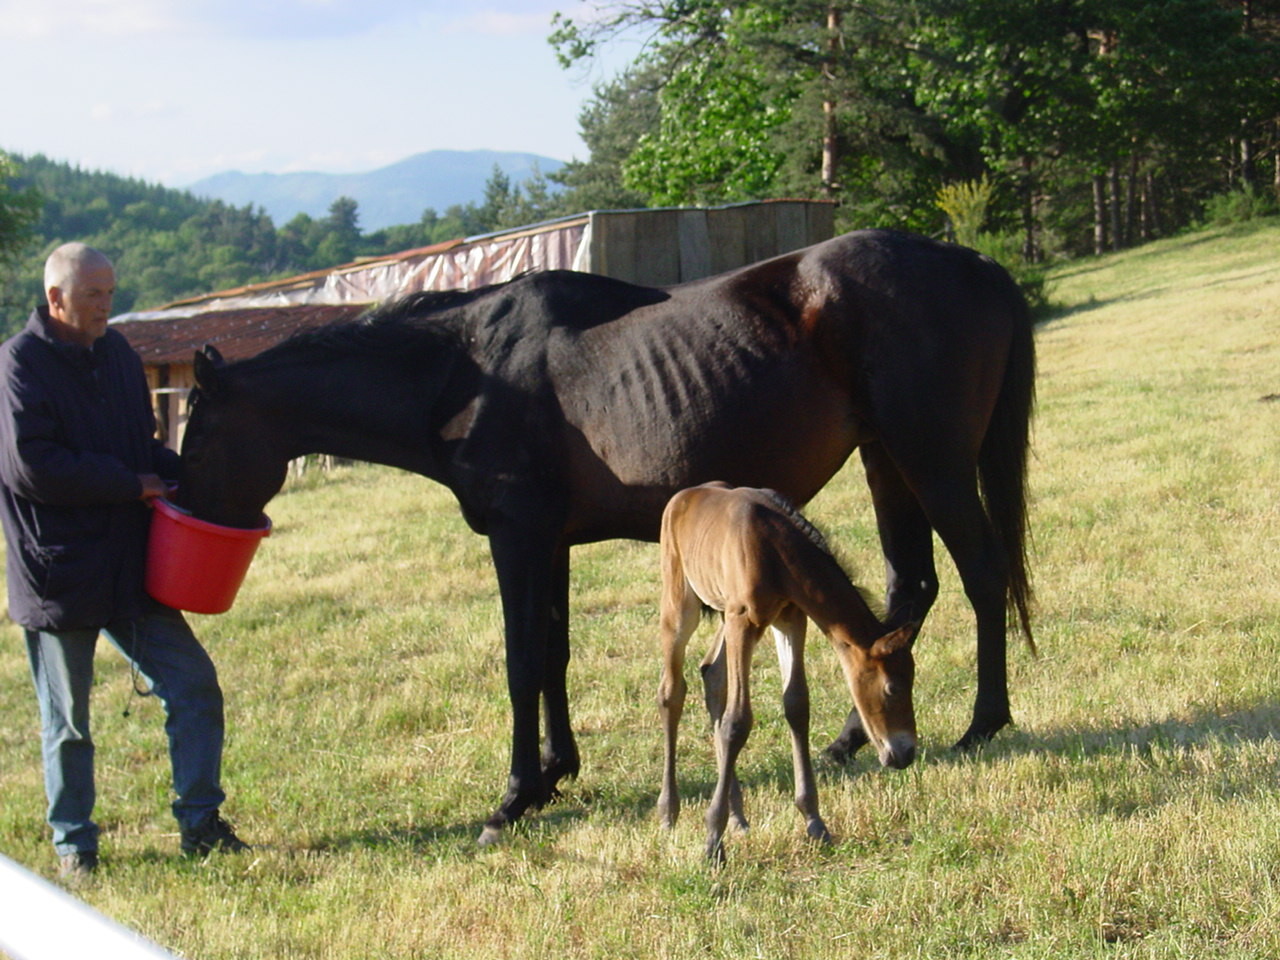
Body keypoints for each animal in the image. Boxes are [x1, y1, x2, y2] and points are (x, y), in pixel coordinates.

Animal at [655, 483, 916, 870]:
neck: (771, 545)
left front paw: (815, 823)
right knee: (672, 691)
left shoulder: (791, 617)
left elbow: (796, 705)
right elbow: (737, 721)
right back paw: (668, 812)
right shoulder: (743, 620)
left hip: (725, 614)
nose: (906, 754)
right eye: (892, 688)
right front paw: (712, 841)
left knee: (711, 673)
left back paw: (739, 817)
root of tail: (684, 495)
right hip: (681, 601)